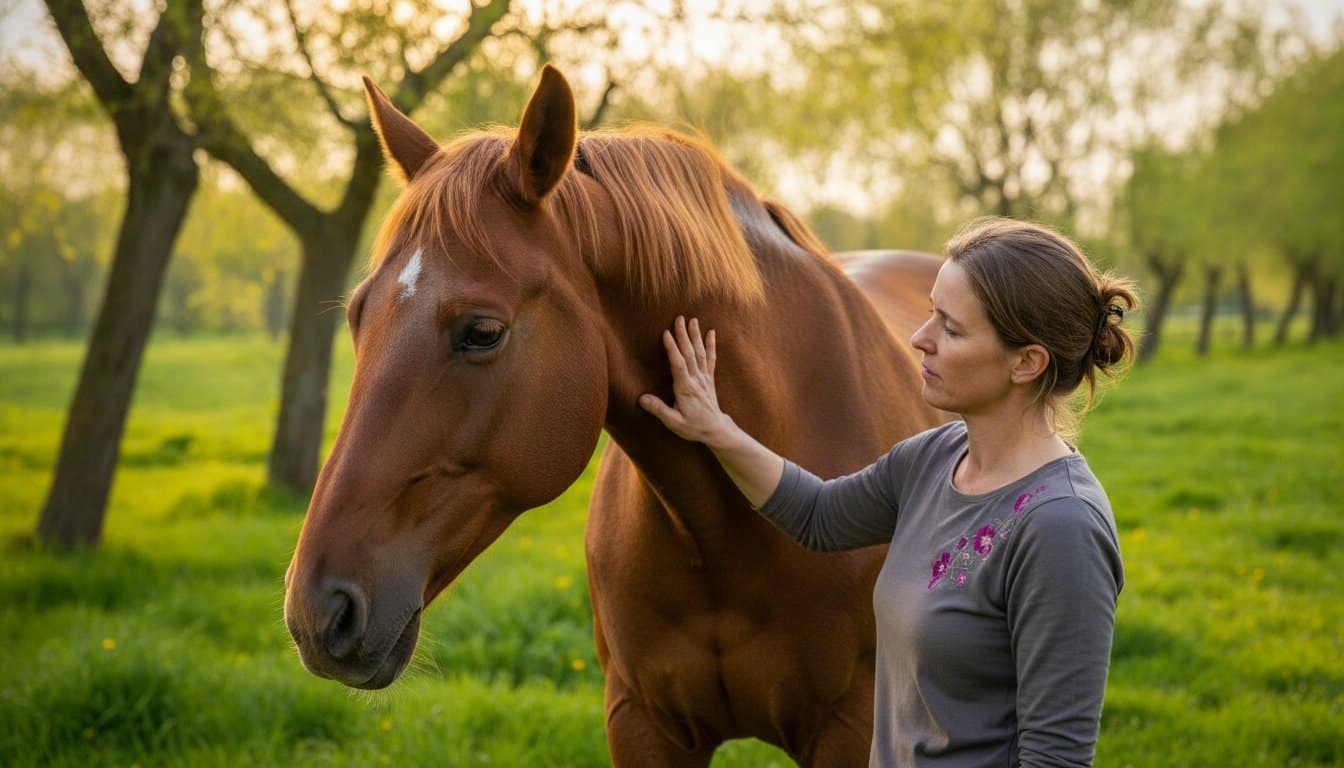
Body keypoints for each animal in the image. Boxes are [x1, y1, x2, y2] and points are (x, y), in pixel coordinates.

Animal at [283, 64, 945, 766]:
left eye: (483, 332)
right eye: (357, 315)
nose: (316, 612)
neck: (720, 531)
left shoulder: (851, 728)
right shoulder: (641, 721)